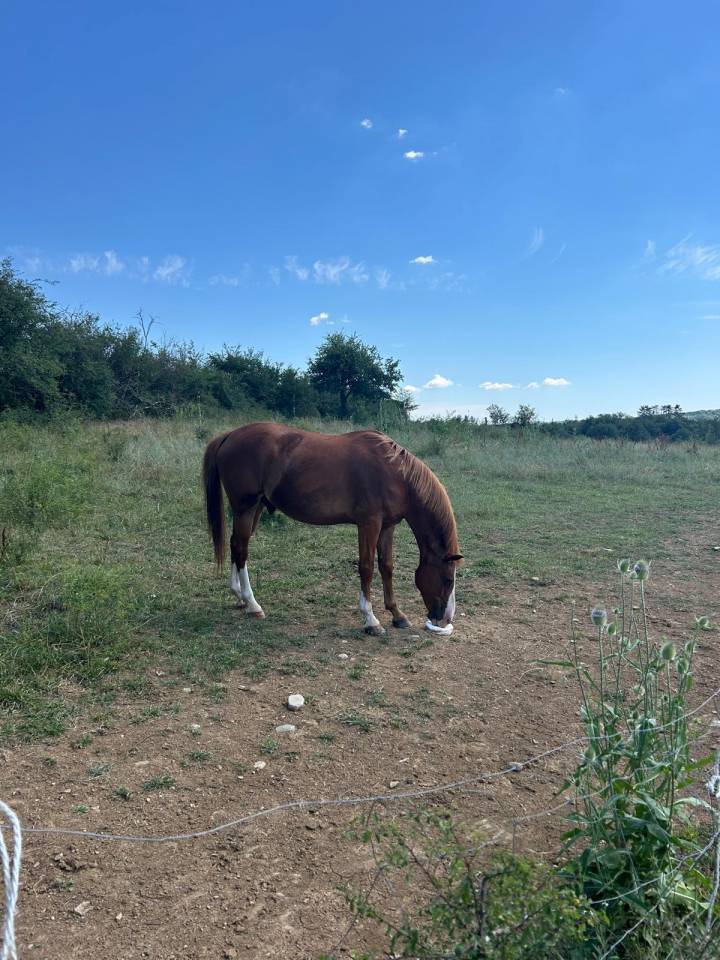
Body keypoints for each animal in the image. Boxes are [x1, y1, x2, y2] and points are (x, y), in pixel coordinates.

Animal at [202, 422, 462, 635]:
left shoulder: (387, 526)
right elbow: (367, 567)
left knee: (236, 544)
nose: (445, 619)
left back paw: (239, 597)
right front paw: (371, 620)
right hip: (246, 507)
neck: (395, 474)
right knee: (241, 549)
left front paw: (397, 615)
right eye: (448, 579)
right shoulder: (369, 524)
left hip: (254, 508)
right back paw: (252, 604)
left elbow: (386, 566)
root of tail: (229, 435)